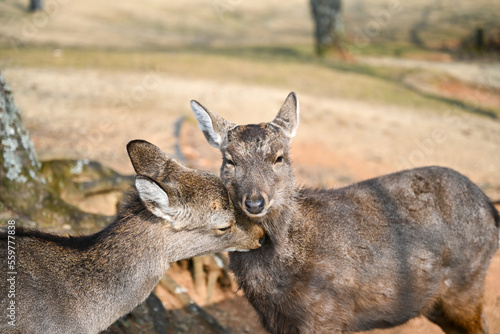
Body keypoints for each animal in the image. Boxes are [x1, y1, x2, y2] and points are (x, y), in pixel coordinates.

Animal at [191, 92, 500, 334]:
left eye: (279, 157)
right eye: (230, 161)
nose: (255, 202)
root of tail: (490, 207)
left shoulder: (327, 315)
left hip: (467, 283)